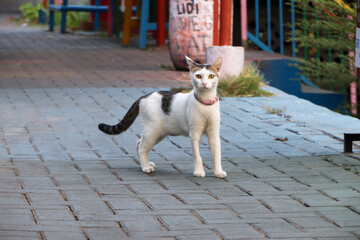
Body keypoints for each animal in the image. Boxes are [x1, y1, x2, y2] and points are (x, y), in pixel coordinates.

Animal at [97, 54, 228, 178]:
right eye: (198, 76)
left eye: (211, 76)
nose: (204, 83)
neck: (205, 104)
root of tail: (143, 96)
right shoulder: (195, 133)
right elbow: (197, 155)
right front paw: (199, 172)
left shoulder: (214, 133)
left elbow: (217, 154)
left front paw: (218, 172)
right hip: (152, 131)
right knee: (142, 148)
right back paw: (145, 167)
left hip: (158, 133)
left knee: (139, 143)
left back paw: (145, 164)